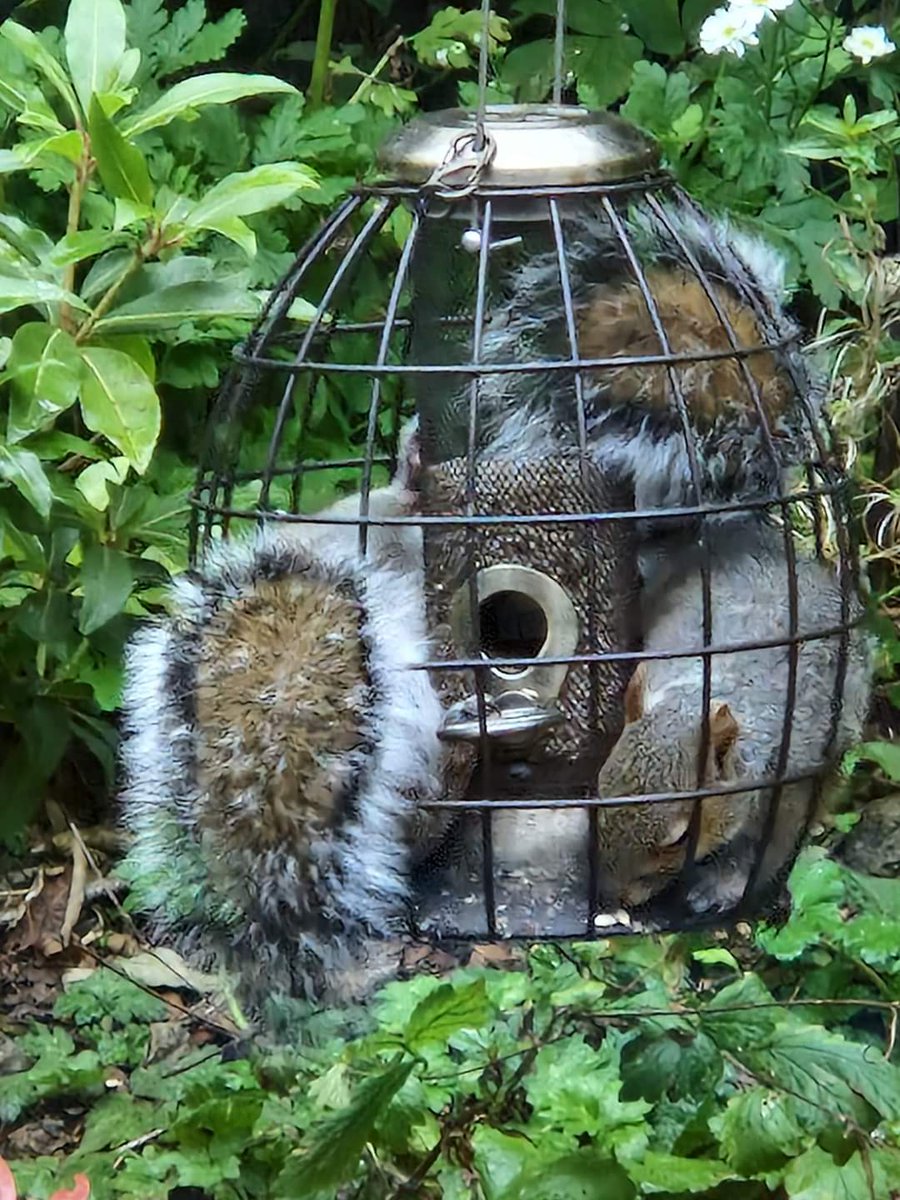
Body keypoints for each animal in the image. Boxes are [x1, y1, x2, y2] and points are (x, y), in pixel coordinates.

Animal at [593, 521, 873, 916]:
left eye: (680, 839)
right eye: (599, 790)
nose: (611, 895)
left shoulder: (790, 783)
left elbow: (764, 848)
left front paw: (722, 887)